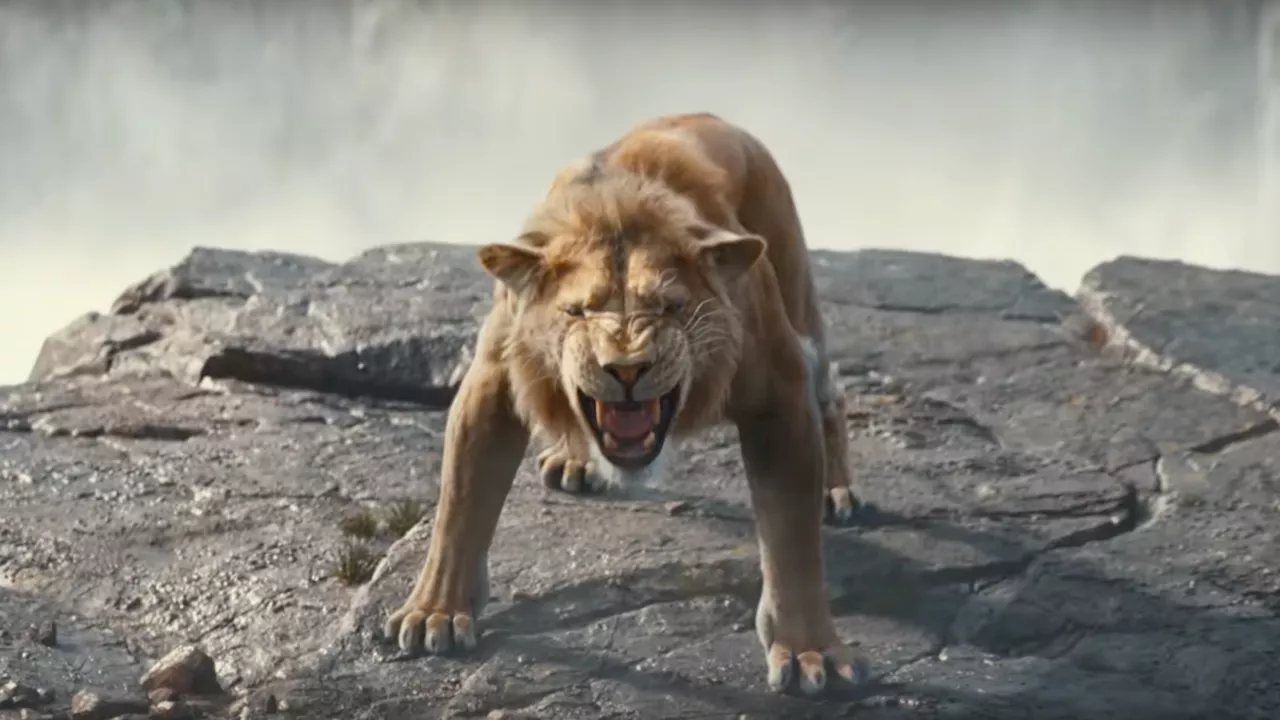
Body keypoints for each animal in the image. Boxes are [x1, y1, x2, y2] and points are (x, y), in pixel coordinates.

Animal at [384, 112, 863, 696]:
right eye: (577, 311)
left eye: (670, 307)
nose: (628, 368)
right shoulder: (495, 377)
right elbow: (460, 504)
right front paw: (434, 611)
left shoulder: (779, 391)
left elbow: (793, 542)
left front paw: (810, 651)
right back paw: (574, 462)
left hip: (796, 292)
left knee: (831, 391)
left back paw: (837, 492)